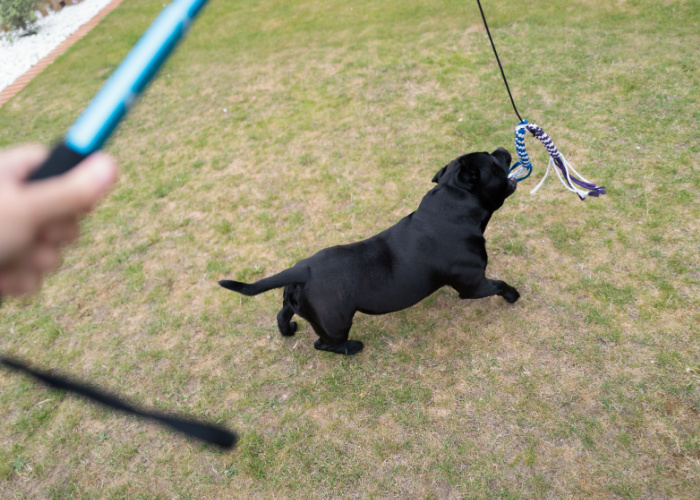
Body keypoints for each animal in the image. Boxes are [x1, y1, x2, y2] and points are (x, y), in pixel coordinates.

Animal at [219, 148, 520, 356]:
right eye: (494, 163)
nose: (502, 149)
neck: (452, 203)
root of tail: (302, 270)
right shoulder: (474, 285)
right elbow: (500, 284)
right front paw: (514, 296)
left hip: (297, 302)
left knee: (282, 314)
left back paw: (288, 331)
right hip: (336, 325)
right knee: (322, 344)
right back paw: (353, 348)